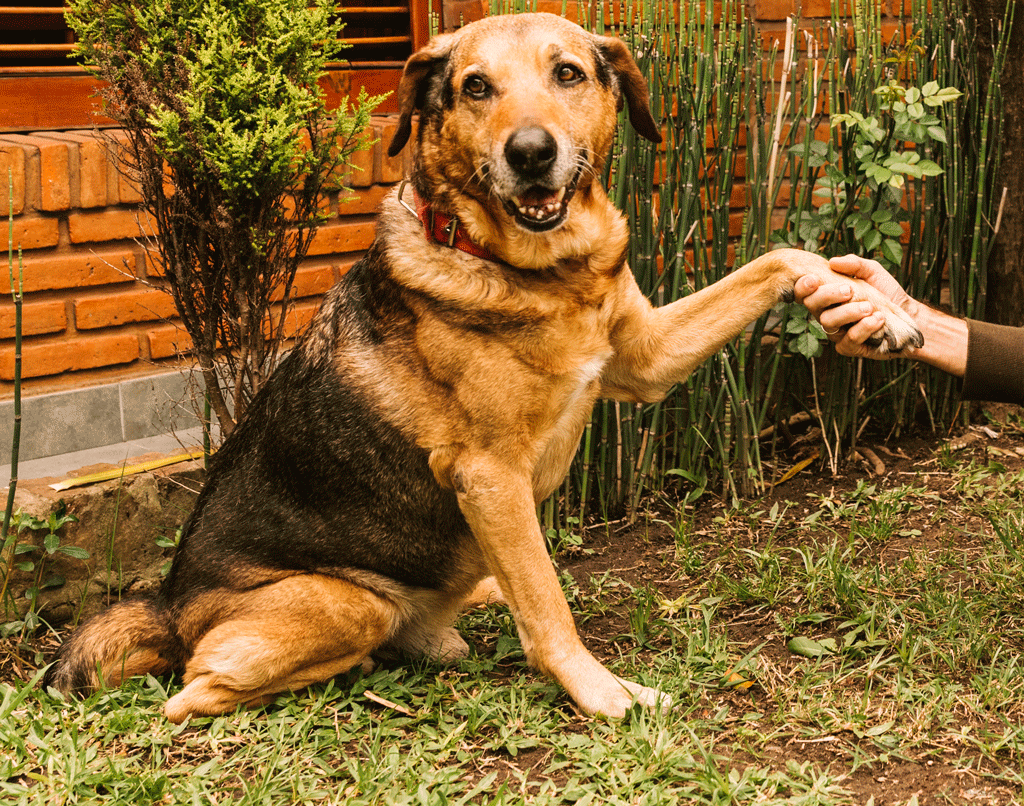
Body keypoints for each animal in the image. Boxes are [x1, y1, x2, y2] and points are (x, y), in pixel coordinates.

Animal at [41, 12, 921, 720]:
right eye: (474, 87)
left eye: (567, 73)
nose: (530, 154)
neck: (540, 274)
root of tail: (167, 603)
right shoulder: (490, 476)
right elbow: (551, 613)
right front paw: (604, 694)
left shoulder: (642, 361)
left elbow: (779, 257)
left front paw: (877, 306)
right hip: (341, 603)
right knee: (198, 691)